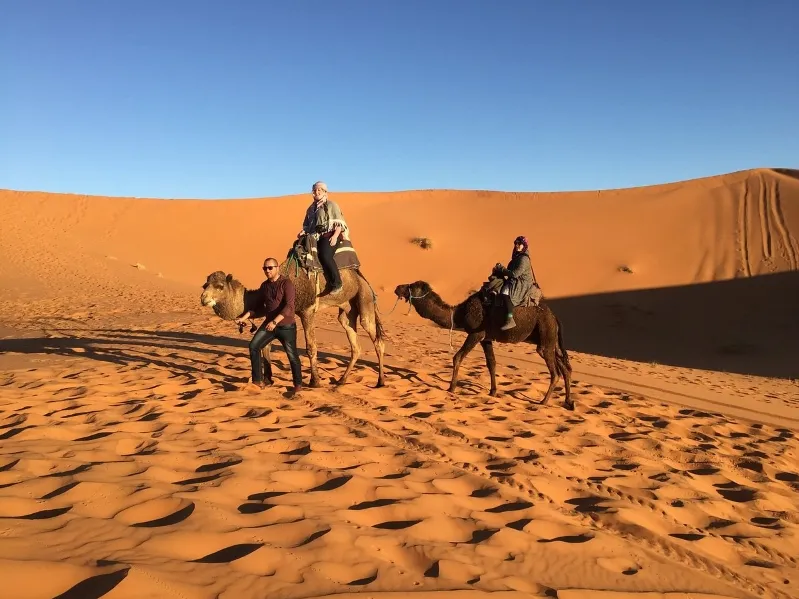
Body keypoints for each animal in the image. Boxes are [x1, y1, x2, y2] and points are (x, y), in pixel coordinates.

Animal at [200, 254, 386, 389]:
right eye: (205, 285)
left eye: (220, 286)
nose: (203, 298)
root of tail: (363, 279)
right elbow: (265, 346)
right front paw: (268, 379)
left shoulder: (307, 310)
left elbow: (311, 347)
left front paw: (315, 382)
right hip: (348, 310)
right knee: (354, 342)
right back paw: (341, 381)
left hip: (364, 298)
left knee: (376, 339)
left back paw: (380, 382)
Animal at [394, 281, 574, 410]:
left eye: (411, 286)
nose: (397, 288)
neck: (458, 313)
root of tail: (554, 318)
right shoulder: (486, 338)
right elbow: (491, 363)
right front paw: (493, 391)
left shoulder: (476, 333)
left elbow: (457, 357)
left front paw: (451, 388)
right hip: (551, 339)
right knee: (565, 367)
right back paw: (568, 401)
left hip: (545, 334)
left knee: (555, 371)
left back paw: (543, 401)